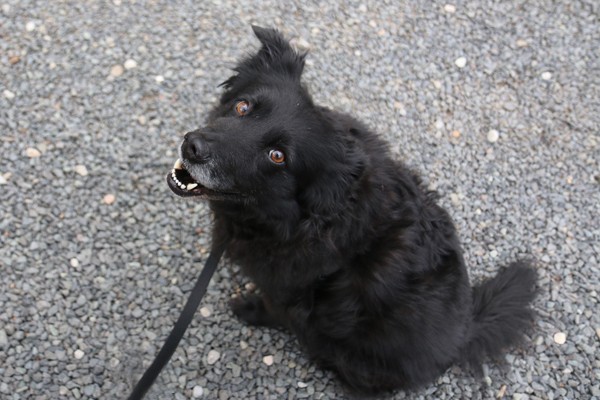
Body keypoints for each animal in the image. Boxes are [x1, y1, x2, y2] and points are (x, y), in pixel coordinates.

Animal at [166, 26, 536, 396]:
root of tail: (464, 335)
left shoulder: (285, 292)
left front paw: (249, 308)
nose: (193, 146)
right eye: (242, 106)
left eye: (277, 156)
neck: (299, 221)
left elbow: (273, 310)